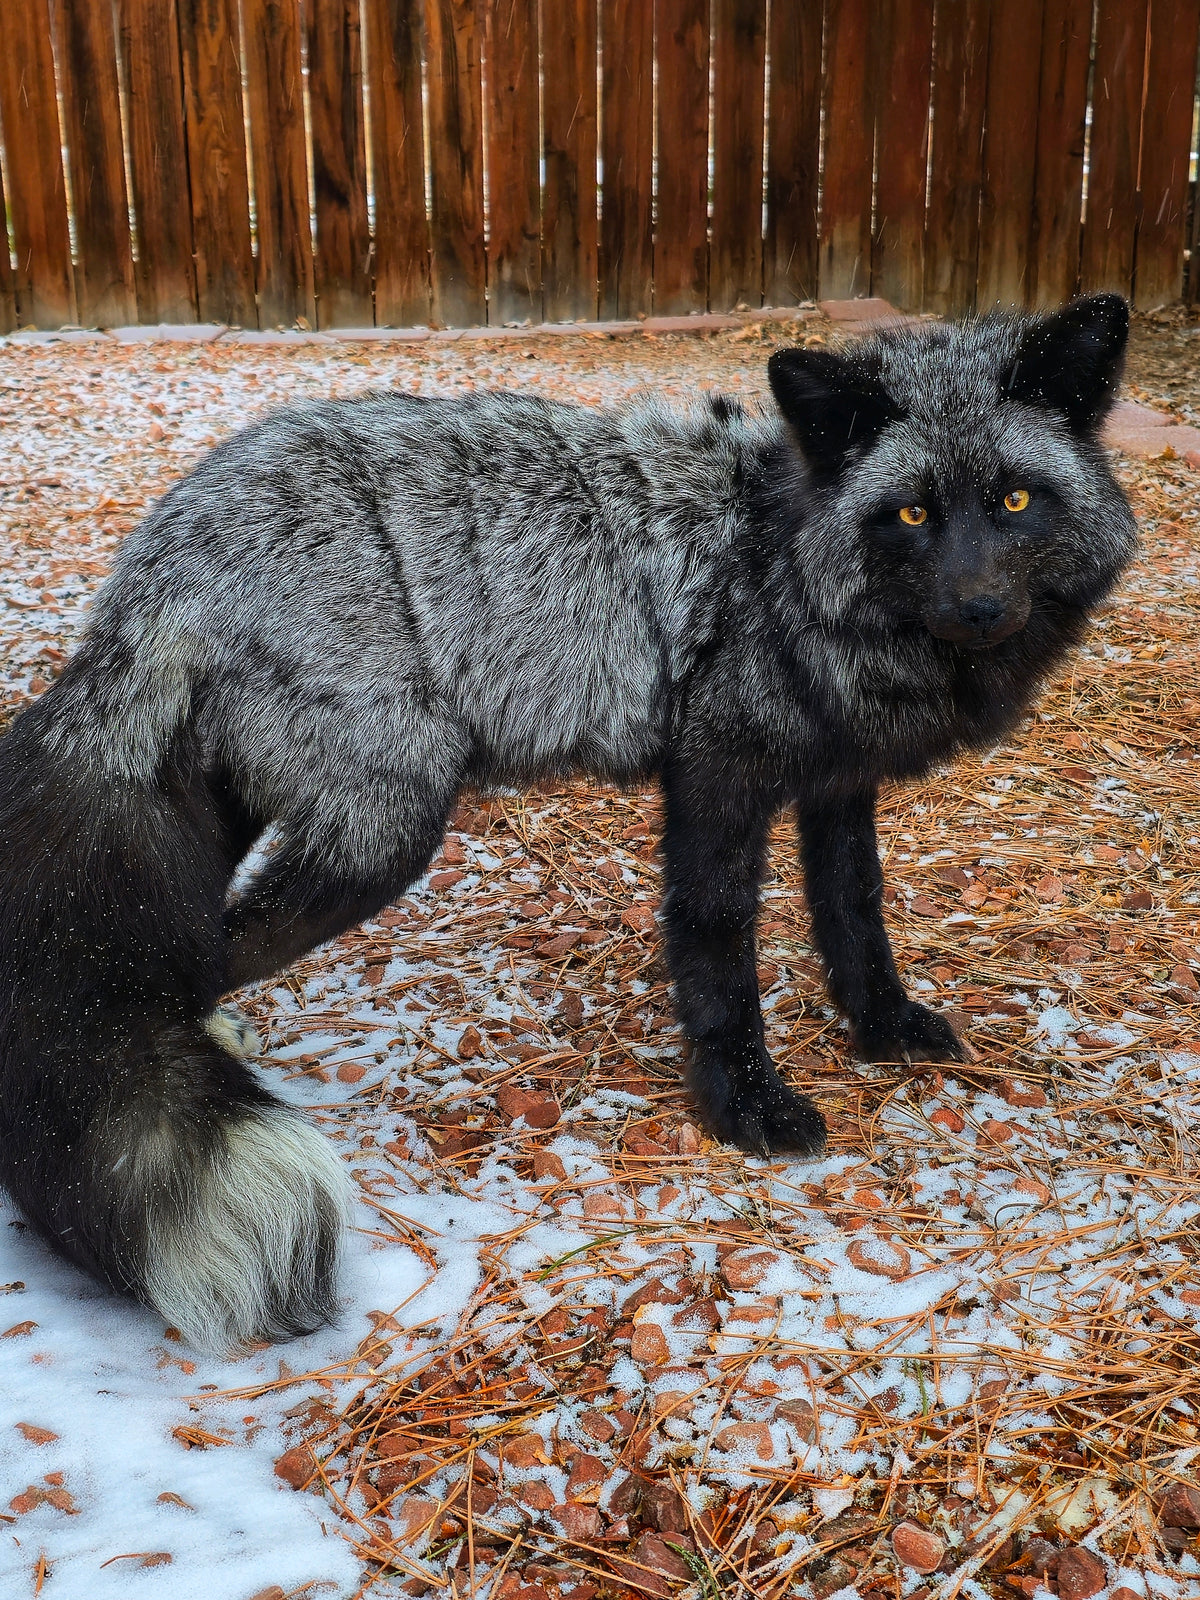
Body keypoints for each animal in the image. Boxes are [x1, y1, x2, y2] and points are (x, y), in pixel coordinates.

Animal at [0, 295, 1136, 1353]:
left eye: (1014, 499)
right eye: (910, 514)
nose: (978, 607)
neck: (775, 556)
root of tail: (166, 541)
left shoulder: (836, 783)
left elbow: (857, 914)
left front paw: (883, 1026)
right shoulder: (716, 775)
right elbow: (720, 950)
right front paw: (745, 1104)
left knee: (195, 943)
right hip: (384, 833)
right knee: (202, 958)